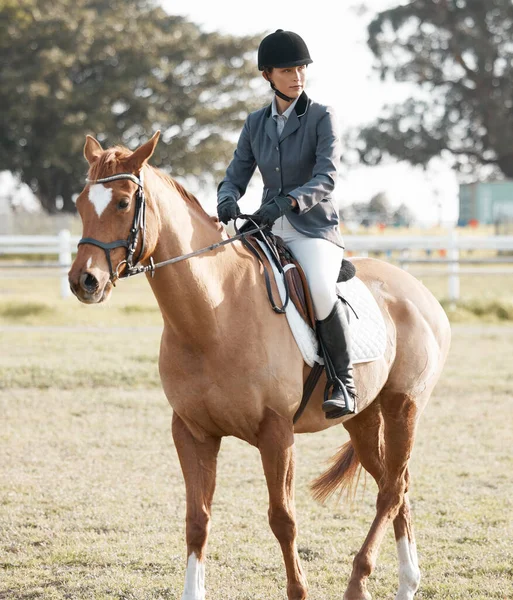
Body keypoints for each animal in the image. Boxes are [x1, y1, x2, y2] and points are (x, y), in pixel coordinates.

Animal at [69, 134, 452, 600]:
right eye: (81, 203)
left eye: (124, 202)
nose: (83, 281)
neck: (213, 315)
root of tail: (418, 290)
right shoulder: (191, 432)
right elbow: (197, 521)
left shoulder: (276, 433)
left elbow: (282, 519)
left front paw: (299, 591)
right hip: (362, 418)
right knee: (394, 485)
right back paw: (405, 581)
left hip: (403, 407)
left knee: (392, 490)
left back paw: (360, 580)